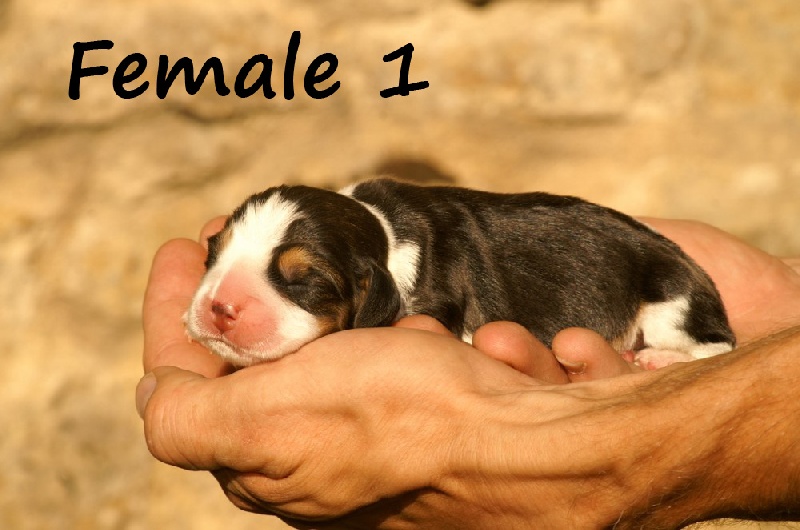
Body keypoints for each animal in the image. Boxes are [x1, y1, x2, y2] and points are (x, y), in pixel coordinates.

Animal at [184, 178, 735, 368]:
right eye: (214, 254)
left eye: (304, 278)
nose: (218, 307)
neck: (383, 233)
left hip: (672, 300)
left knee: (716, 347)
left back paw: (658, 359)